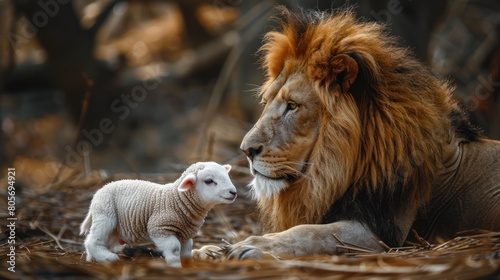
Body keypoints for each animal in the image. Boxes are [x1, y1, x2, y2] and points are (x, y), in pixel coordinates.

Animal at [80, 162, 238, 266]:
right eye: (209, 181)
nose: (233, 192)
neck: (176, 199)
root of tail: (99, 192)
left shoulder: (185, 234)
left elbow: (186, 252)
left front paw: (187, 266)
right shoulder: (159, 227)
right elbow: (174, 249)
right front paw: (175, 267)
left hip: (115, 230)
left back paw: (94, 259)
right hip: (105, 214)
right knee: (92, 241)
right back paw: (108, 258)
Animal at [224, 7, 500, 260]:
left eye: (292, 105)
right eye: (265, 102)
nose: (246, 150)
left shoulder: (382, 233)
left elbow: (309, 232)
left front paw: (252, 246)